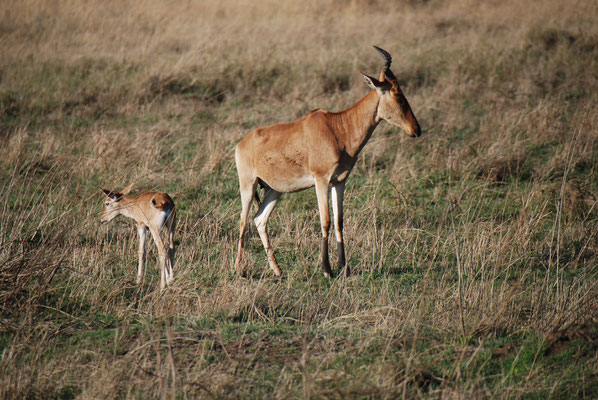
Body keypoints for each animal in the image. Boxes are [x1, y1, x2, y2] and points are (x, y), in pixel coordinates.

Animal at [234, 46, 422, 278]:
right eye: (398, 96)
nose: (416, 130)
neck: (337, 127)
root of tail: (241, 144)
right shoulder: (321, 180)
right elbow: (326, 221)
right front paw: (327, 269)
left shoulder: (339, 182)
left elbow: (339, 222)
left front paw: (344, 267)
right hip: (248, 184)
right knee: (243, 221)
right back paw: (238, 269)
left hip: (275, 190)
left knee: (260, 219)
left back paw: (277, 270)